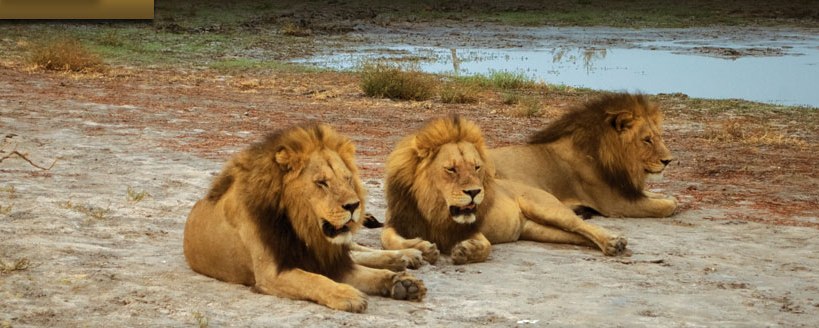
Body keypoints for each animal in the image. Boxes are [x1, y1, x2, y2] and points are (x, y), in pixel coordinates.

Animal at [184, 123, 430, 312]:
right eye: (321, 183)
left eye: (347, 179)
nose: (354, 206)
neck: (303, 230)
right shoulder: (271, 274)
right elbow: (314, 279)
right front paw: (347, 294)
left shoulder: (332, 260)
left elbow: (368, 273)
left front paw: (403, 284)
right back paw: (404, 259)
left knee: (359, 250)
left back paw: (408, 255)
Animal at [380, 115, 628, 264]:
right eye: (451, 169)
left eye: (476, 167)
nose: (474, 192)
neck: (432, 208)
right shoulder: (395, 223)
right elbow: (388, 241)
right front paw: (423, 248)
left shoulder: (470, 229)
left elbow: (486, 247)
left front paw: (465, 252)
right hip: (539, 230)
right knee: (577, 235)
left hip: (546, 208)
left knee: (581, 225)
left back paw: (613, 242)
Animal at [490, 93, 676, 218]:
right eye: (647, 140)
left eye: (659, 137)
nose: (668, 161)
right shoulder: (616, 203)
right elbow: (664, 206)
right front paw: (670, 201)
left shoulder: (625, 189)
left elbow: (652, 195)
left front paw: (665, 196)